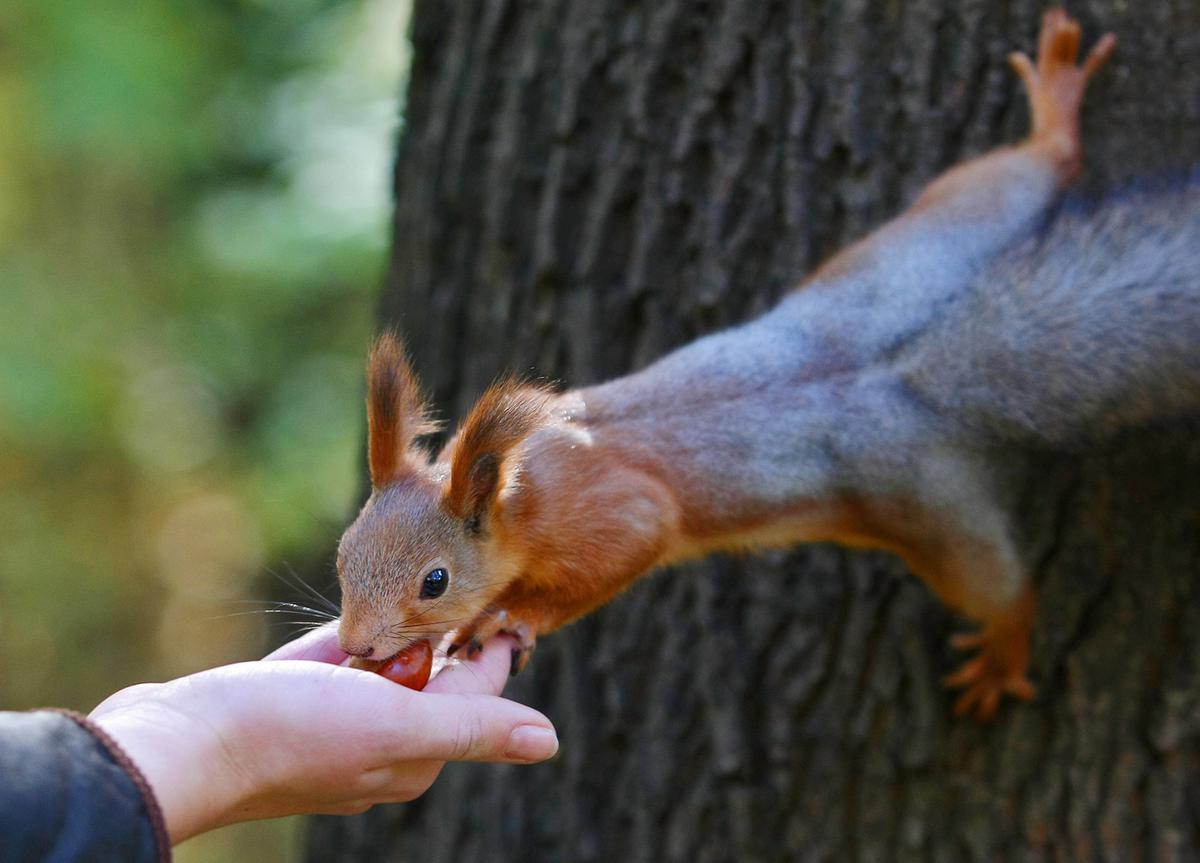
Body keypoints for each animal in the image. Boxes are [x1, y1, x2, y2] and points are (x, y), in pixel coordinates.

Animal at [331, 15, 1200, 720]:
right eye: (344, 551)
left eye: (435, 580)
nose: (359, 645)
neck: (525, 489)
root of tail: (909, 371)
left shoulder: (617, 516)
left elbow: (620, 553)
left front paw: (515, 614)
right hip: (937, 231)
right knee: (1031, 169)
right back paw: (1053, 106)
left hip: (925, 506)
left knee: (1000, 585)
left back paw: (1004, 647)